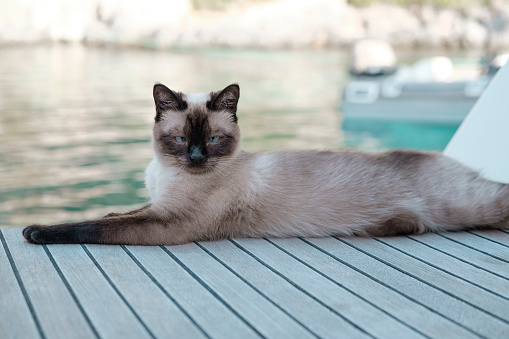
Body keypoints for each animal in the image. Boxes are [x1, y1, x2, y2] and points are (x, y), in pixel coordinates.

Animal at [22, 83, 508, 246]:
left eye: (213, 140)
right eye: (179, 140)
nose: (196, 158)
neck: (167, 172)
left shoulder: (168, 224)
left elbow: (90, 226)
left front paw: (35, 232)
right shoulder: (155, 206)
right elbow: (116, 212)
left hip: (470, 205)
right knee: (415, 225)